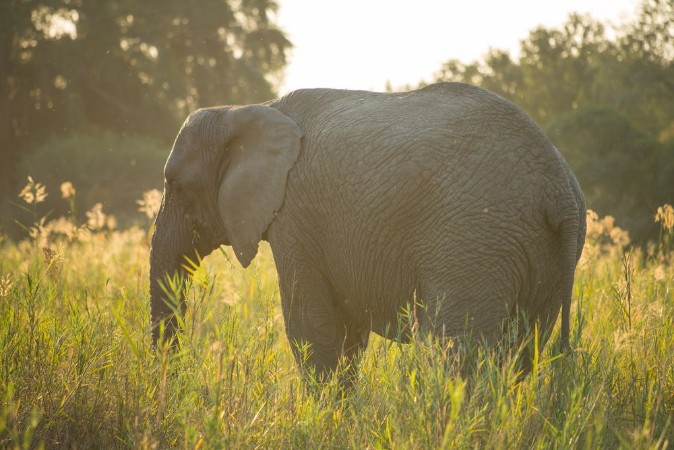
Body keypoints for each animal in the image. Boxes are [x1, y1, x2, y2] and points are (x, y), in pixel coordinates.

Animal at [149, 82, 586, 382]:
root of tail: (558, 188)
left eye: (175, 184)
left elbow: (313, 329)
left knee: (457, 353)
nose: (178, 377)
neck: (246, 109)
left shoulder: (295, 218)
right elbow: (347, 334)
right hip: (537, 253)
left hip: (474, 241)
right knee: (520, 352)